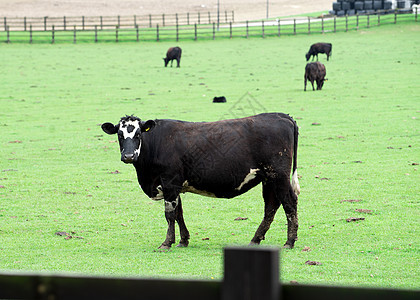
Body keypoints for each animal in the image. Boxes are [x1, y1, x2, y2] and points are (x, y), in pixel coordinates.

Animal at [101, 113, 298, 250]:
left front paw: (166, 243)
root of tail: (281, 116)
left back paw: (289, 241)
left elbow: (170, 215)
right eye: (119, 135)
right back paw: (255, 239)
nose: (128, 156)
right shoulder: (174, 186)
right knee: (271, 207)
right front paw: (183, 240)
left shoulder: (169, 183)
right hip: (268, 179)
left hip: (278, 176)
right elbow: (179, 213)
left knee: (289, 203)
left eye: (138, 134)